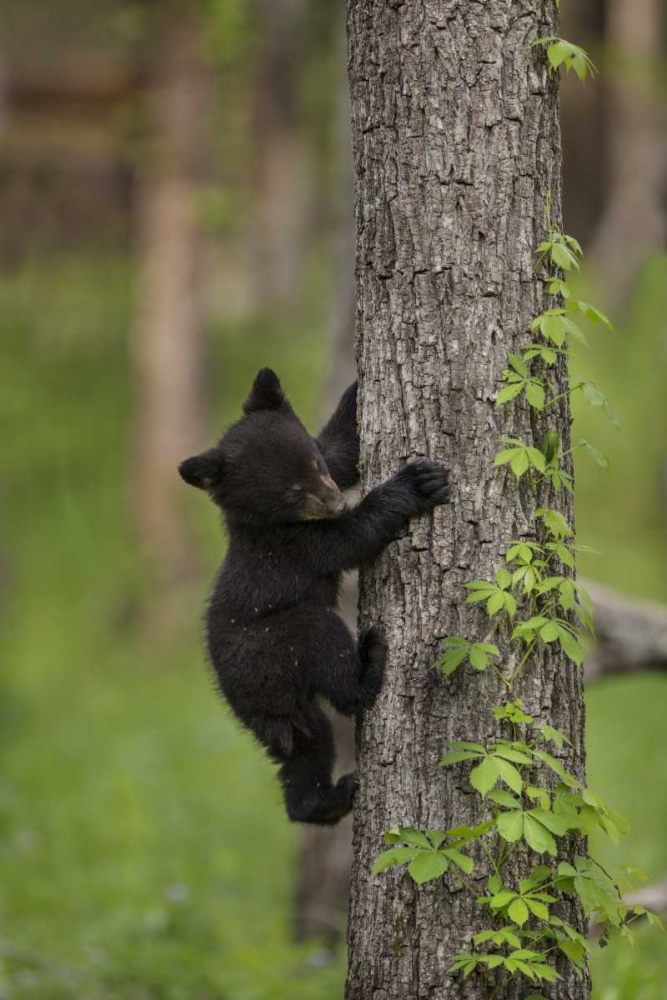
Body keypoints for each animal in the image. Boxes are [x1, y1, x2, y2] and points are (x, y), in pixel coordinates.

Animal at [179, 368, 450, 825]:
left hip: (288, 713)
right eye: (289, 491)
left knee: (307, 747)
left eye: (312, 463)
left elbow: (342, 449)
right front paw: (416, 483)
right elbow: (355, 535)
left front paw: (356, 393)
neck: (271, 523)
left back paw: (324, 801)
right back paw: (369, 664)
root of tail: (241, 696)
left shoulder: (328, 472)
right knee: (329, 659)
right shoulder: (299, 545)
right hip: (280, 642)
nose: (334, 501)